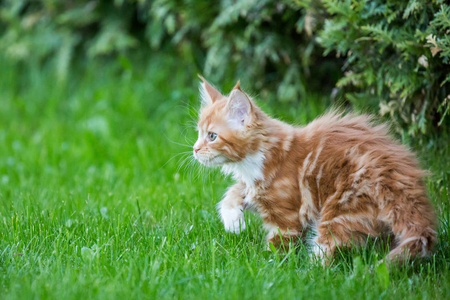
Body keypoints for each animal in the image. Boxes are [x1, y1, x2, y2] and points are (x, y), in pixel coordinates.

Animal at [192, 76, 436, 264]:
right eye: (198, 133)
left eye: (212, 136)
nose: (194, 149)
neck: (257, 158)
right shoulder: (254, 186)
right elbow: (235, 191)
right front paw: (233, 221)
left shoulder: (286, 216)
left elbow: (278, 245)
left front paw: (266, 265)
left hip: (341, 208)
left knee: (328, 250)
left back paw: (310, 272)